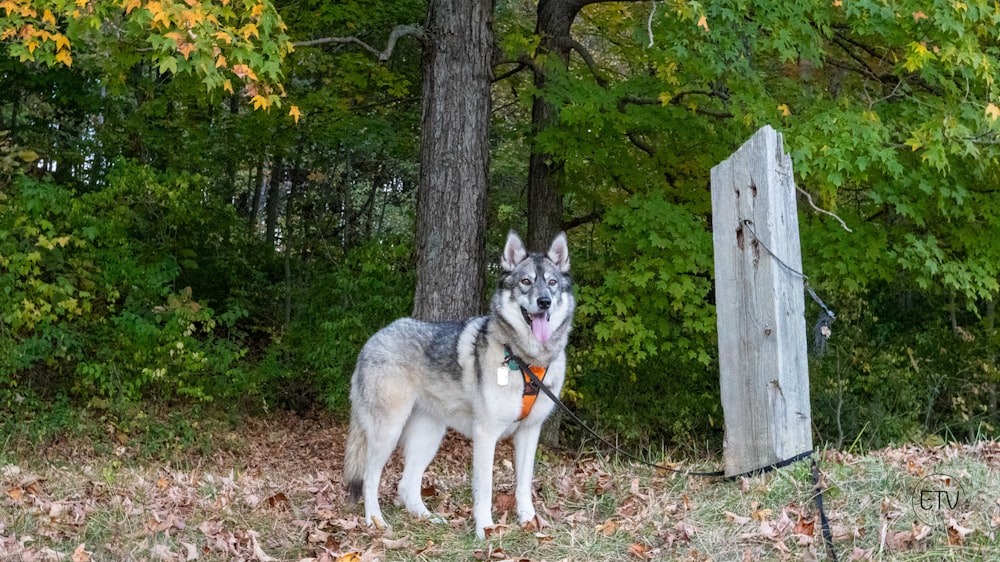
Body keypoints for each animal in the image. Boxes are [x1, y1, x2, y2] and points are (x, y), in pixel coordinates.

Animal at [344, 230, 576, 536]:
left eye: (551, 283)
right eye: (526, 282)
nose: (544, 301)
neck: (525, 361)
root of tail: (372, 340)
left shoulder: (529, 432)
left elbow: (523, 485)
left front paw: (528, 521)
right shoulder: (486, 435)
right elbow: (485, 489)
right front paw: (485, 530)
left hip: (428, 436)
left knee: (407, 485)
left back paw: (428, 518)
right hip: (388, 434)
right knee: (370, 479)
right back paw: (376, 521)